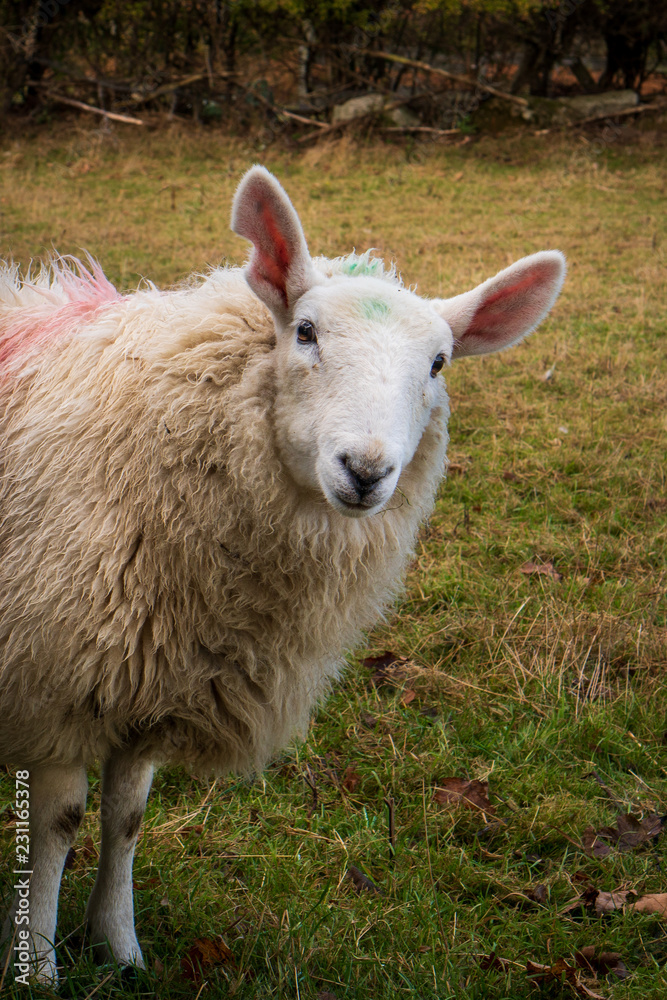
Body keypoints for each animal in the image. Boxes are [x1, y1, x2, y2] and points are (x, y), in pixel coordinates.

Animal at [0, 165, 565, 984]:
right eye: (305, 332)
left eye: (437, 364)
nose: (365, 471)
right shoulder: (57, 680)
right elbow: (59, 824)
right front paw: (39, 967)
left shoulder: (151, 678)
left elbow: (126, 818)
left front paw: (121, 949)